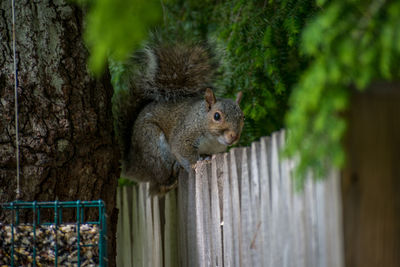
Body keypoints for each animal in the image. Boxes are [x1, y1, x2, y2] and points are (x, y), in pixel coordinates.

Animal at [112, 42, 244, 197]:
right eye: (217, 116)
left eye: (243, 117)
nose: (234, 136)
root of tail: (133, 165)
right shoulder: (185, 134)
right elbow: (183, 151)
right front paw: (197, 162)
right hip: (155, 146)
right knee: (158, 185)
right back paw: (171, 177)